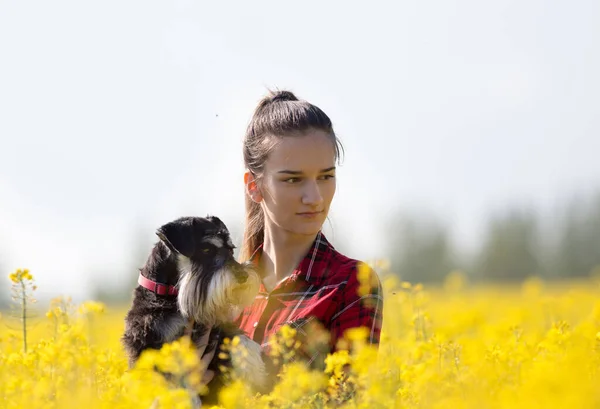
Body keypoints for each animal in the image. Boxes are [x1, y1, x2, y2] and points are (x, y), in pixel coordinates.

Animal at [121, 215, 270, 404]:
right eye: (206, 249)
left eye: (231, 249)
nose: (243, 276)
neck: (171, 296)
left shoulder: (216, 324)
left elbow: (239, 338)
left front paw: (254, 364)